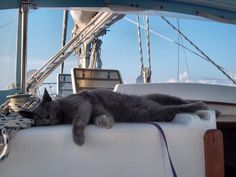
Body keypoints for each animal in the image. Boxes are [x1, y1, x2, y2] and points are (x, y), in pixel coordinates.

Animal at [19, 89, 208, 146]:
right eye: (41, 117)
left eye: (48, 108)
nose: (49, 117)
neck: (62, 115)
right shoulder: (94, 109)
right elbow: (103, 117)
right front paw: (104, 121)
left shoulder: (82, 104)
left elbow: (78, 121)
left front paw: (78, 139)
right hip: (154, 110)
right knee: (173, 107)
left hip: (157, 103)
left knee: (180, 104)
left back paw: (201, 106)